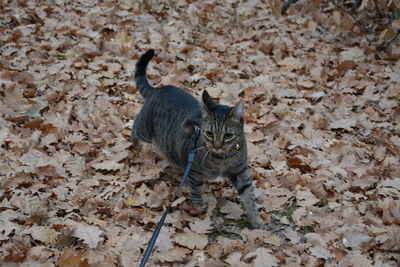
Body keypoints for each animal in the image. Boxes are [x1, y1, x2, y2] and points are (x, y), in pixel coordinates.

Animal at [130, 49, 266, 229]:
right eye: (209, 133)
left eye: (228, 135)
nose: (216, 145)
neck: (223, 159)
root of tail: (159, 89)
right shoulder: (195, 173)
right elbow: (196, 193)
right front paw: (200, 209)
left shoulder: (241, 171)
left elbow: (249, 196)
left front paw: (256, 220)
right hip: (144, 129)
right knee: (134, 125)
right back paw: (135, 145)